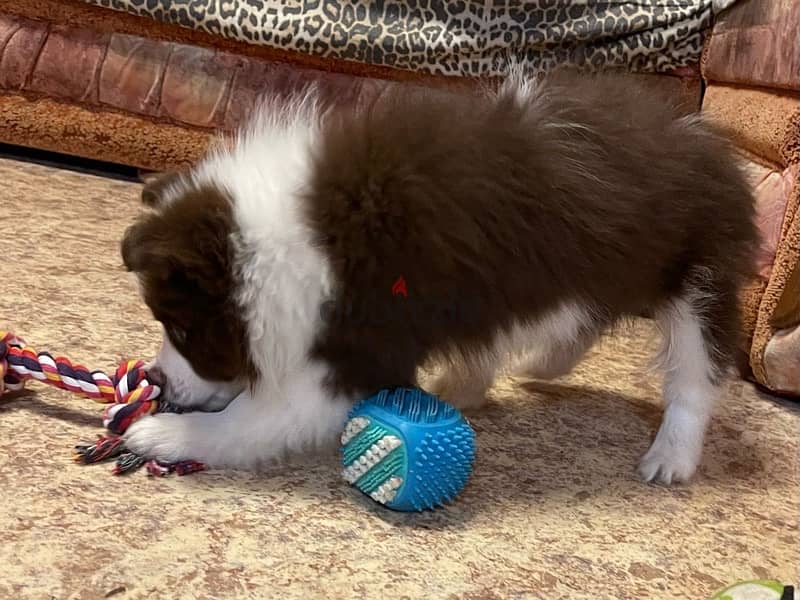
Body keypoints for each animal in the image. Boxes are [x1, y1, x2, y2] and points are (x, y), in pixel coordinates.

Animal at [123, 69, 756, 482]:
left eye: (184, 331)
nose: (153, 380)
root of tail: (707, 138)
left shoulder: (360, 349)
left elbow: (255, 417)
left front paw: (161, 437)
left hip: (697, 277)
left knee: (696, 370)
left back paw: (670, 458)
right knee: (582, 317)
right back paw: (521, 370)